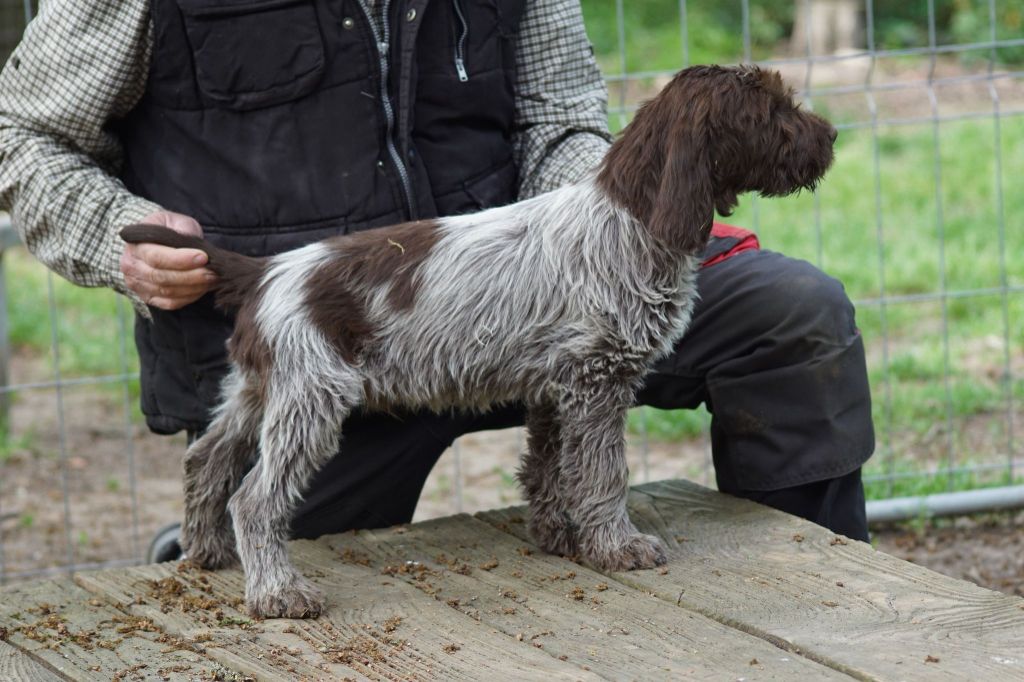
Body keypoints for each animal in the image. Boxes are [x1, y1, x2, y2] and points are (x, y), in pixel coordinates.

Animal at [121, 63, 839, 614]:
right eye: (773, 112)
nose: (831, 135)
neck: (631, 218)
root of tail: (267, 269)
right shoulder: (598, 382)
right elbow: (603, 473)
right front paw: (617, 546)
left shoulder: (557, 387)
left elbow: (549, 467)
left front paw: (557, 535)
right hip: (311, 397)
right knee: (255, 499)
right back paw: (276, 592)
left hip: (259, 388)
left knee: (206, 459)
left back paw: (206, 552)